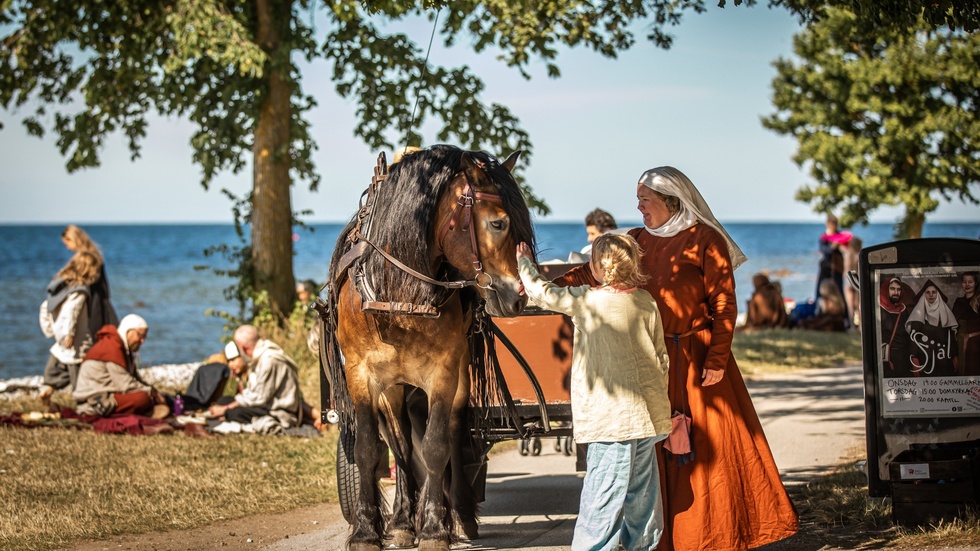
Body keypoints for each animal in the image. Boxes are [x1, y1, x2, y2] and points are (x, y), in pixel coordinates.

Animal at [322, 146, 536, 551]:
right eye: (498, 223)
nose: (517, 298)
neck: (398, 297)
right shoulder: (362, 375)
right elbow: (369, 450)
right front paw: (366, 530)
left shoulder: (443, 373)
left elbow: (436, 447)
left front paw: (436, 528)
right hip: (393, 388)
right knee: (401, 445)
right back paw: (404, 520)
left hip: (459, 379)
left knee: (451, 434)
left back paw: (460, 516)